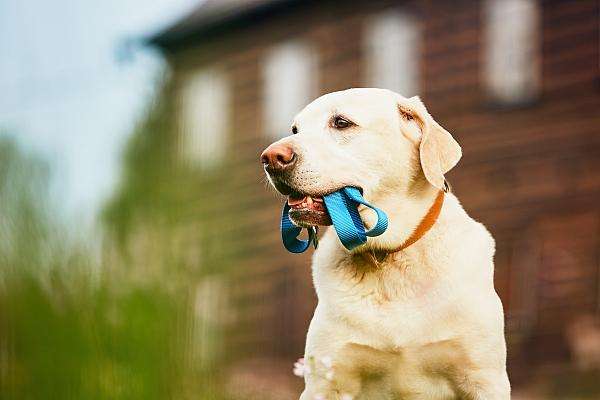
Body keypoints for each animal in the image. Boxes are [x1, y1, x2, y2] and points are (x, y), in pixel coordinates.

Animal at [260, 88, 508, 400]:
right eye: (295, 129)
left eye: (341, 123)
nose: (270, 157)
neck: (387, 256)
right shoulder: (326, 382)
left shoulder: (484, 379)